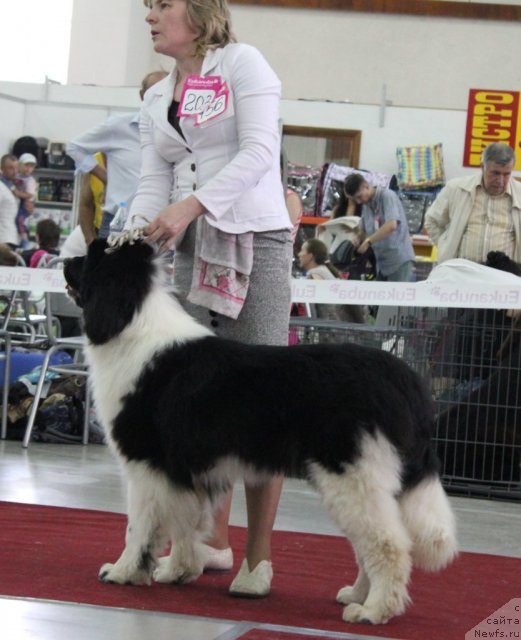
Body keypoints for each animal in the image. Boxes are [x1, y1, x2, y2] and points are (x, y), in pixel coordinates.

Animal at [64, 239, 456, 624]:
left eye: (89, 258)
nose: (65, 261)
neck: (132, 320)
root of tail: (403, 378)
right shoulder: (187, 470)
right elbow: (185, 523)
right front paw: (177, 571)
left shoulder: (147, 464)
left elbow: (139, 526)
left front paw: (122, 571)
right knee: (369, 543)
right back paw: (356, 595)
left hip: (352, 475)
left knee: (388, 544)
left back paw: (373, 611)